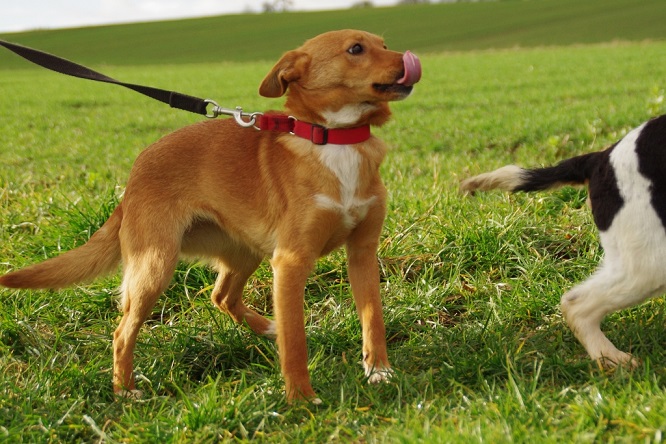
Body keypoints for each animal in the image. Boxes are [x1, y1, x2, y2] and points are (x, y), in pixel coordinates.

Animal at [0, 29, 422, 403]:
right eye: (356, 49)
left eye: (384, 44)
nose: (410, 61)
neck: (333, 138)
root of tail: (134, 176)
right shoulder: (291, 261)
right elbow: (296, 340)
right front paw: (300, 398)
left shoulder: (362, 251)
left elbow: (373, 318)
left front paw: (379, 371)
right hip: (155, 266)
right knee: (123, 332)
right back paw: (124, 390)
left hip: (246, 251)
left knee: (221, 296)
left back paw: (267, 327)